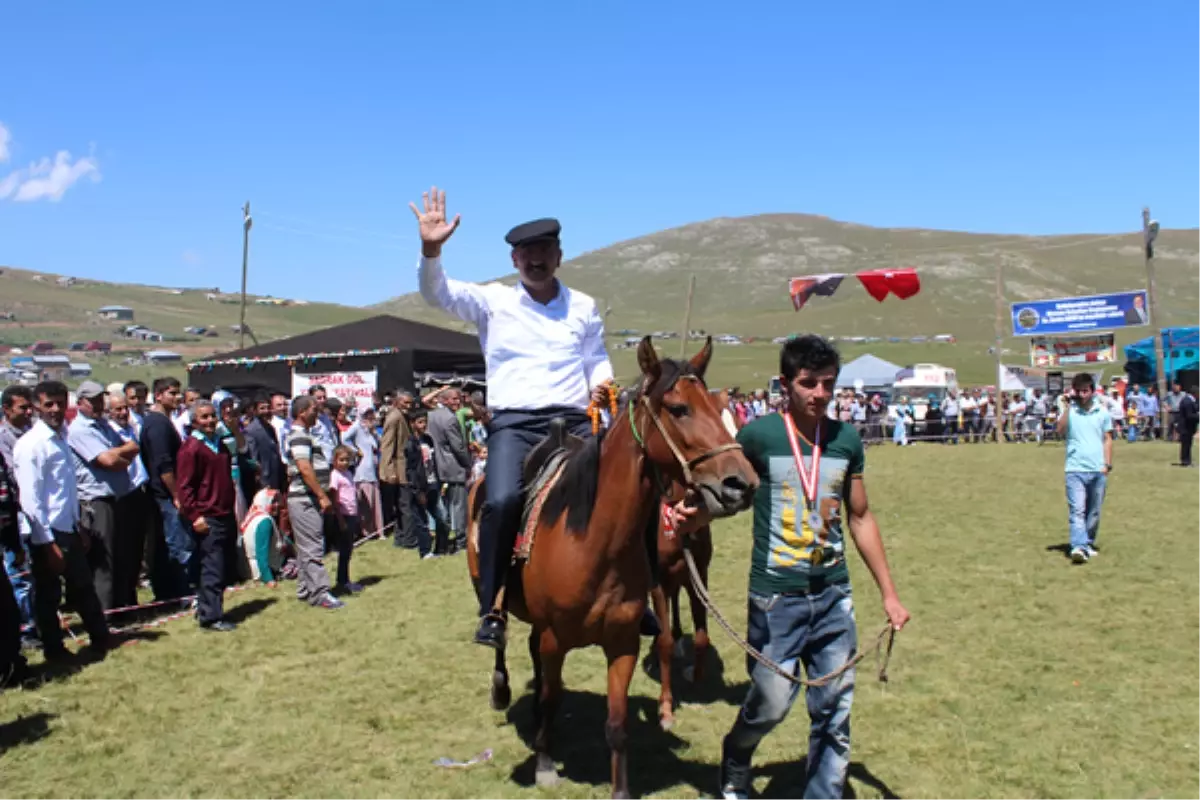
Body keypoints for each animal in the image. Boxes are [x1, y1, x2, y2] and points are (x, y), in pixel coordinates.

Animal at [463, 338, 753, 800]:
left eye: (718, 406)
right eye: (678, 409)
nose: (741, 483)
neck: (593, 541)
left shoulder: (622, 642)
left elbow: (616, 724)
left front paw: (620, 788)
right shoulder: (556, 639)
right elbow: (551, 698)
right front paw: (545, 763)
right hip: (493, 593)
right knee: (502, 639)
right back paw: (501, 688)